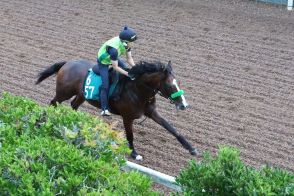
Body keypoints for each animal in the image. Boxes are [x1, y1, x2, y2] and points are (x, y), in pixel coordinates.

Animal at [35, 60, 199, 161]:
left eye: (178, 83)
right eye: (170, 85)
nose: (184, 105)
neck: (137, 89)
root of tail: (67, 63)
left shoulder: (151, 112)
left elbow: (172, 128)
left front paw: (191, 149)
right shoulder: (127, 117)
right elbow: (130, 136)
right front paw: (134, 154)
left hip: (82, 95)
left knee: (74, 105)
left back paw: (77, 124)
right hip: (63, 93)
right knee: (53, 103)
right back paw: (43, 121)